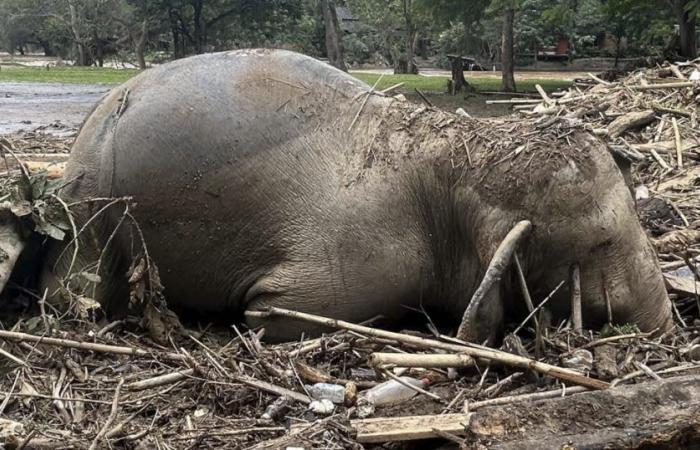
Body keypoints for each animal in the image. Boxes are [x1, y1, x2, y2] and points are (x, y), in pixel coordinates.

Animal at [41, 49, 676, 342]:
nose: (668, 324)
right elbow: (273, 311)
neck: (454, 156)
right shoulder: (367, 262)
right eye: (601, 241)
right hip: (91, 207)